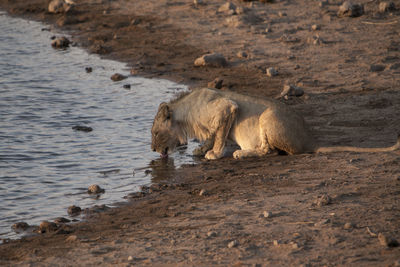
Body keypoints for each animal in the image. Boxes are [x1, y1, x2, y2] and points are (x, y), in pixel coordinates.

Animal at [151, 88, 400, 160]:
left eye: (154, 133)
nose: (152, 149)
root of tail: (311, 141)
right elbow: (214, 134)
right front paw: (202, 148)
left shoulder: (227, 107)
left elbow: (220, 135)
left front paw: (214, 153)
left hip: (267, 117)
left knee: (270, 151)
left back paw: (242, 153)